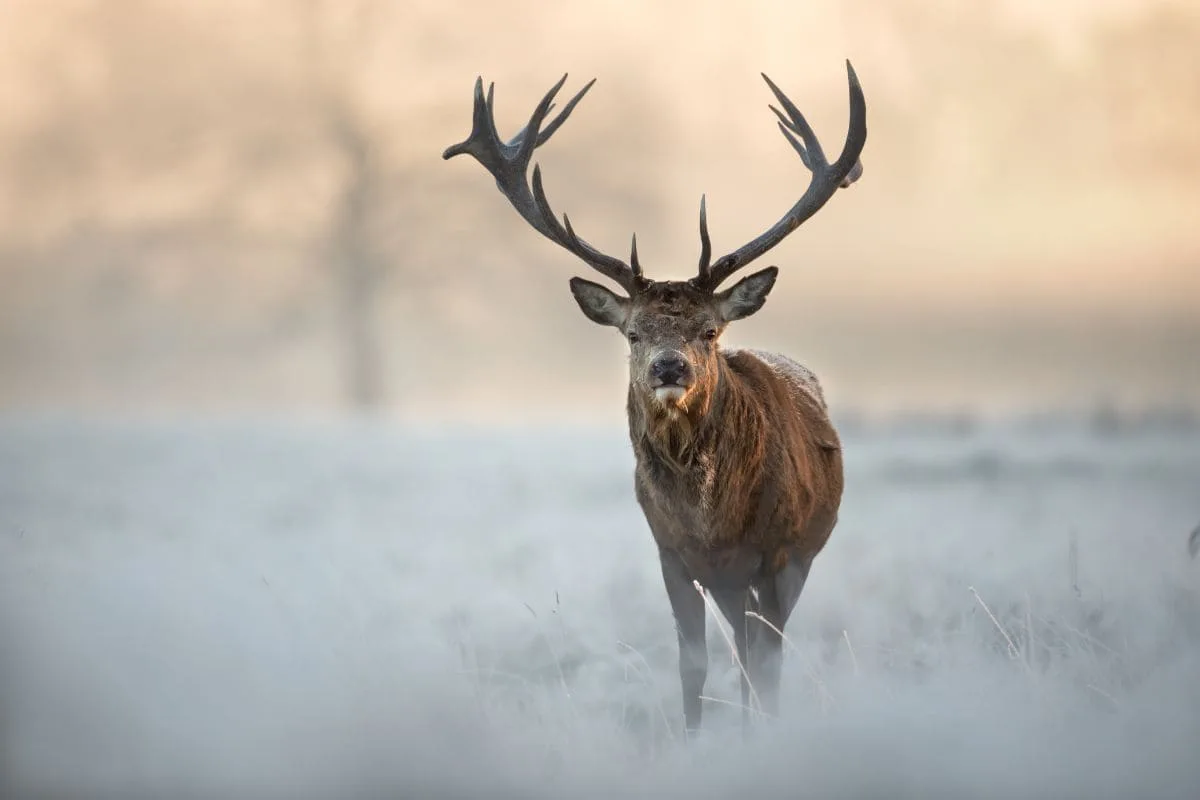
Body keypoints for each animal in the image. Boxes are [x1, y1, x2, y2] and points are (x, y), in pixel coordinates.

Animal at [446, 64, 868, 738]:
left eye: (710, 331)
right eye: (634, 333)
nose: (670, 367)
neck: (713, 522)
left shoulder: (778, 553)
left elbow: (766, 665)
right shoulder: (672, 553)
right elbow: (692, 665)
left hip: (798, 555)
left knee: (758, 653)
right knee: (739, 647)